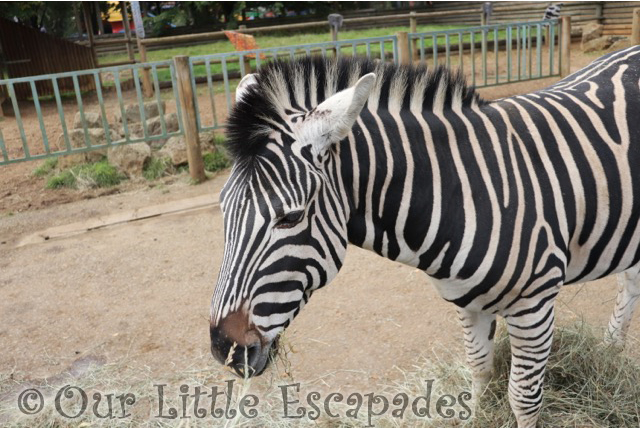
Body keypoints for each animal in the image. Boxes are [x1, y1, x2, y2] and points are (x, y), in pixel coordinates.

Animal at [209, 47, 640, 428]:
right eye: (223, 211)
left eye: (291, 217)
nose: (223, 349)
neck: (462, 191)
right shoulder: (467, 302)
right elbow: (479, 369)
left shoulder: (535, 304)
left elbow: (523, 398)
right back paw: (609, 352)